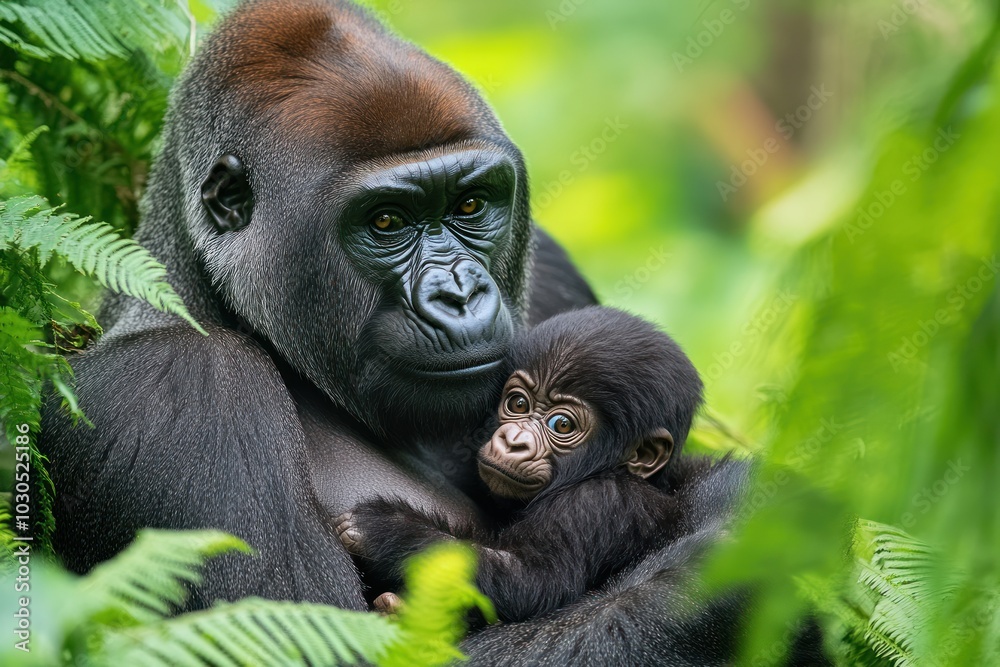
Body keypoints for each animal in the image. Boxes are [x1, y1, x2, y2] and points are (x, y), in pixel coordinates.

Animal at [336, 306, 704, 624]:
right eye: (518, 404)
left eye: (562, 425)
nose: (513, 441)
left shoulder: (600, 501)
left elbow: (531, 577)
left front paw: (386, 527)